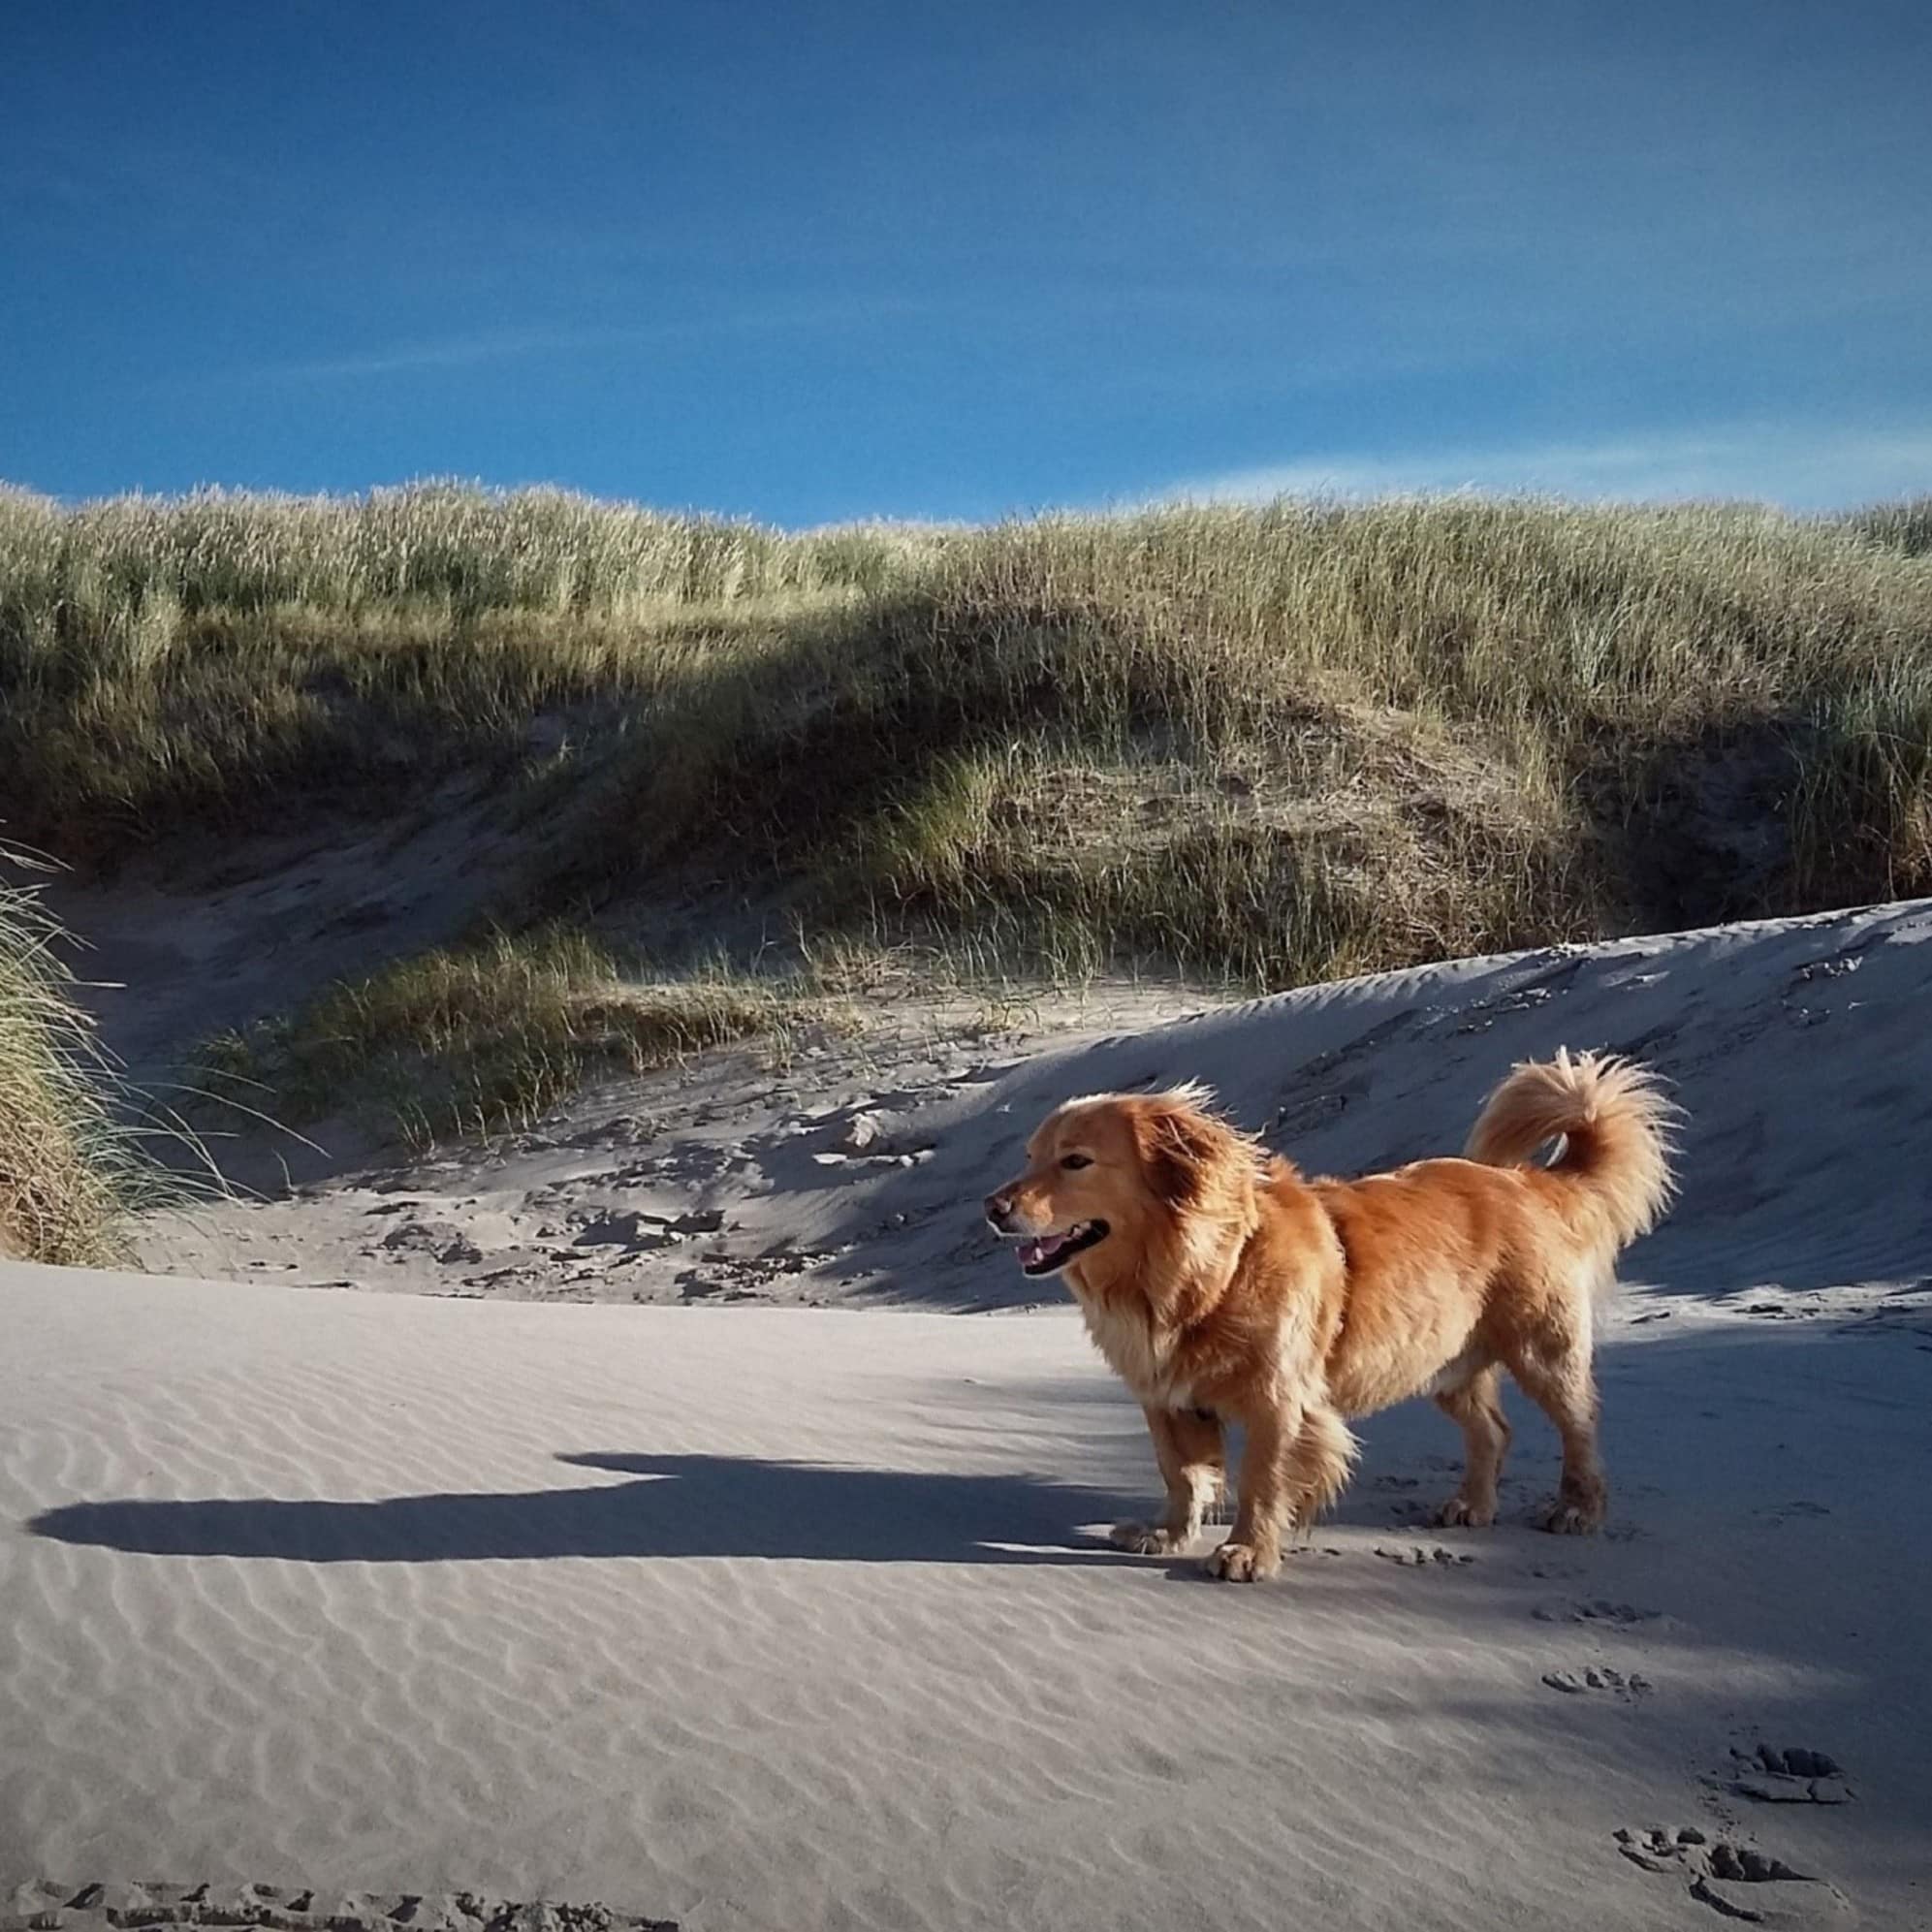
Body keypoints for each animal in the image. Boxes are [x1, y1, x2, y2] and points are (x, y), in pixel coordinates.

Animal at [981, 1051, 1676, 1576]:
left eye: (1076, 1161)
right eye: (1029, 1156)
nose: (992, 1206)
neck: (1202, 1274)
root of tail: (1530, 1182)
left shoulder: (1279, 1401)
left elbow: (1263, 1478)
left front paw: (1246, 1551)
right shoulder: (1167, 1399)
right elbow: (1180, 1472)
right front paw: (1169, 1533)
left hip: (1541, 1351)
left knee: (1579, 1427)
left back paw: (1578, 1509)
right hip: (1439, 1361)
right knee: (1493, 1431)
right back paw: (1471, 1505)